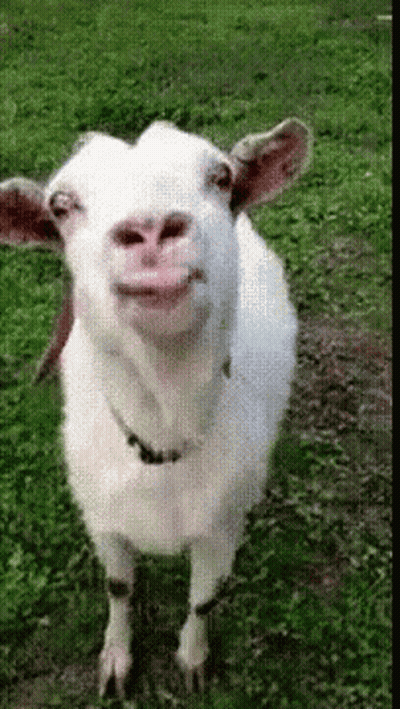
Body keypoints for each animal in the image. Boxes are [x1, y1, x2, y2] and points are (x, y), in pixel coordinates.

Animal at [0, 119, 310, 698]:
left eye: (220, 177)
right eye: (61, 204)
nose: (150, 229)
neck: (165, 432)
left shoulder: (221, 526)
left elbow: (204, 598)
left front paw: (193, 659)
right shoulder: (103, 519)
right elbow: (119, 588)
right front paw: (116, 661)